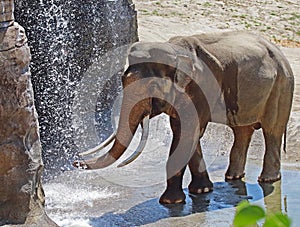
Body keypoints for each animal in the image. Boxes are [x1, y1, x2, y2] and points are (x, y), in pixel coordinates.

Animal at [72, 30, 292, 204]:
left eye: (153, 86)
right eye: (122, 80)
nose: (74, 162)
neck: (173, 50)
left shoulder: (200, 89)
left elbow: (188, 132)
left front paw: (170, 202)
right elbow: (184, 132)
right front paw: (202, 190)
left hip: (281, 88)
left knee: (272, 130)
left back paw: (267, 180)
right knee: (242, 131)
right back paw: (233, 177)